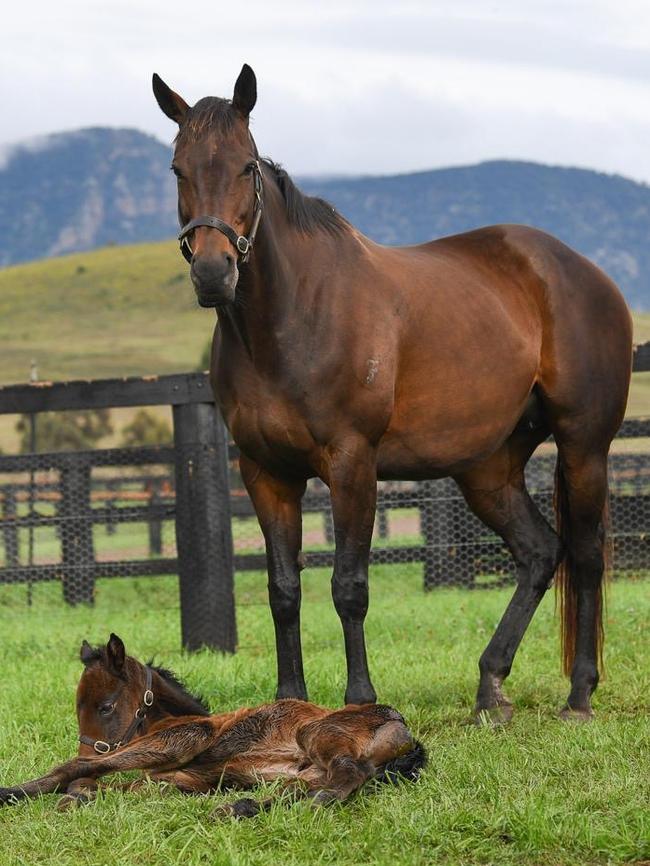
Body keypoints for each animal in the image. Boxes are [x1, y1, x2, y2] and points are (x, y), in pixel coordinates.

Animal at [1, 632, 426, 812]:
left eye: (105, 707)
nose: (88, 745)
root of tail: (402, 726)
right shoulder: (182, 779)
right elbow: (116, 784)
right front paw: (82, 794)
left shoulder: (183, 737)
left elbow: (76, 768)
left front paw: (14, 793)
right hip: (301, 773)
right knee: (314, 785)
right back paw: (240, 806)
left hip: (317, 734)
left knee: (347, 774)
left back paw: (306, 805)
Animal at [152, 64, 628, 720]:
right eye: (178, 169)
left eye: (247, 166)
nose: (212, 272)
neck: (292, 318)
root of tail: (582, 271)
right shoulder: (266, 472)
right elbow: (283, 589)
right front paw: (289, 702)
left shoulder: (353, 462)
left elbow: (348, 586)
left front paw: (360, 701)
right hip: (488, 467)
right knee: (538, 553)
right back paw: (491, 687)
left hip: (584, 446)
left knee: (583, 556)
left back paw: (579, 694)